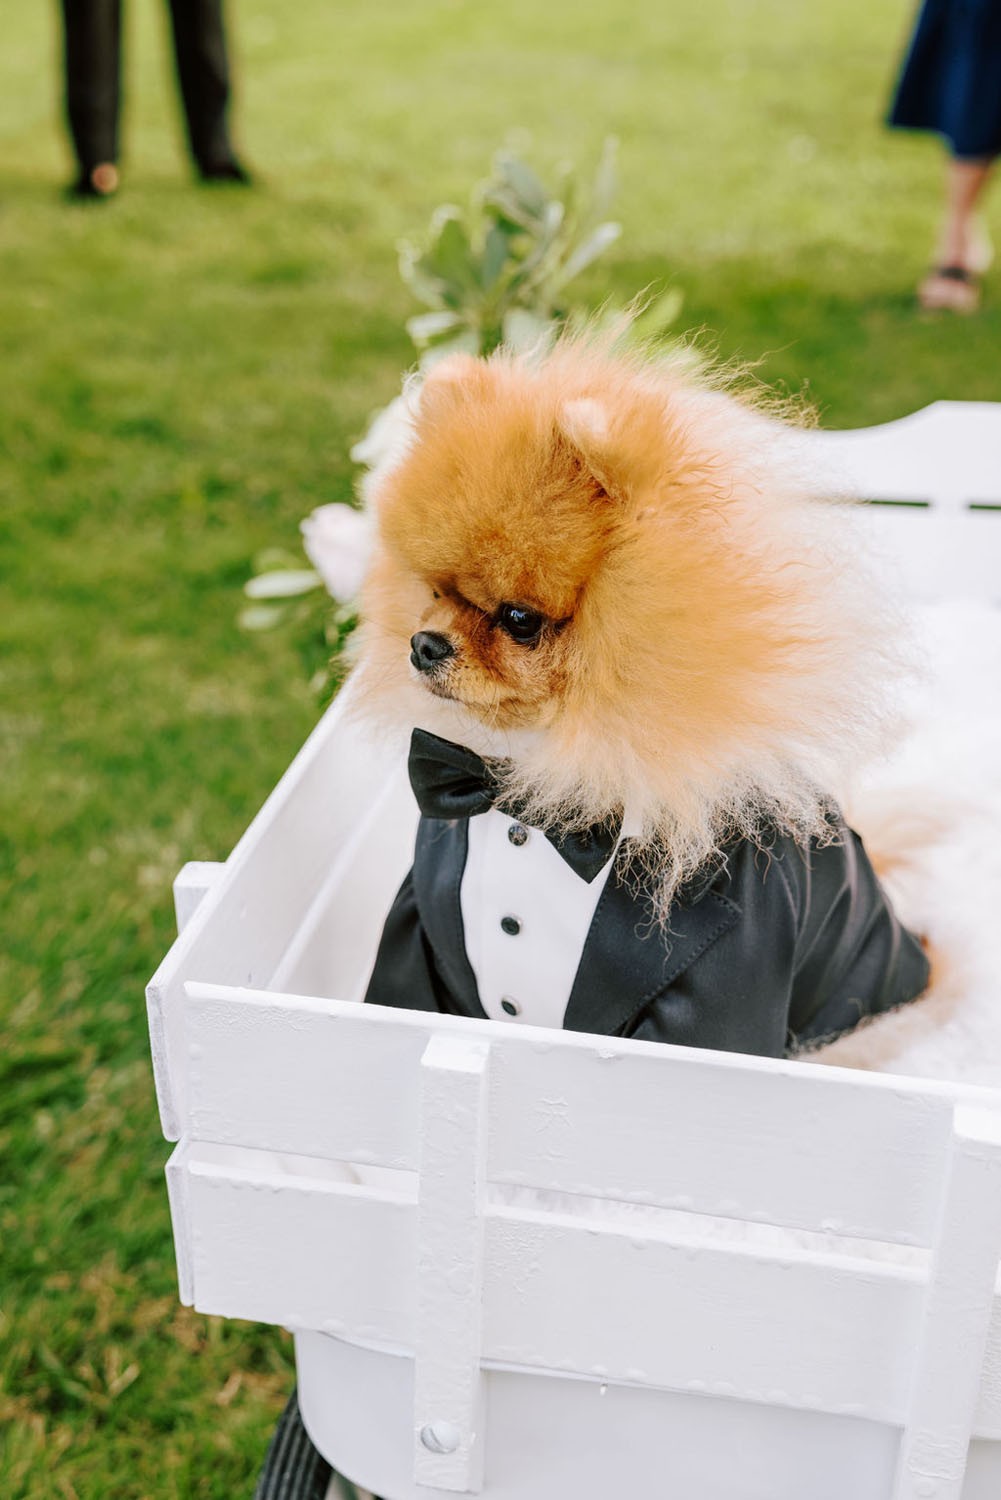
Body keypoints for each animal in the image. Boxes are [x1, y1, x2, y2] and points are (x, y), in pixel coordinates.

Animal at [354, 331, 930, 1056]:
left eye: (519, 620)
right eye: (433, 592)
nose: (424, 645)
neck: (536, 781)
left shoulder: (727, 978)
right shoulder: (424, 931)